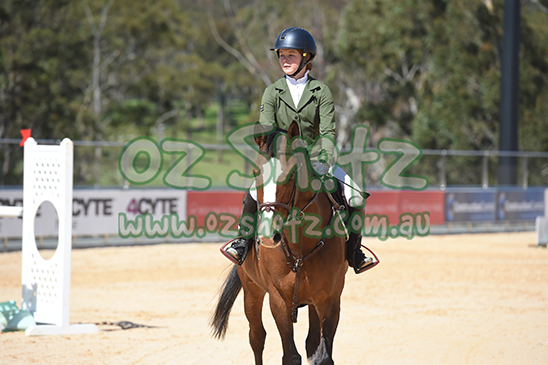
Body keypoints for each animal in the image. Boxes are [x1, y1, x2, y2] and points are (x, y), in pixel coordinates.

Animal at [210, 121, 352, 362]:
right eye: (256, 173)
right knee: (257, 337)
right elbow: (290, 355)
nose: (268, 235)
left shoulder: (330, 298)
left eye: (292, 174)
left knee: (310, 342)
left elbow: (323, 355)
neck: (300, 245)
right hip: (252, 290)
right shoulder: (278, 299)